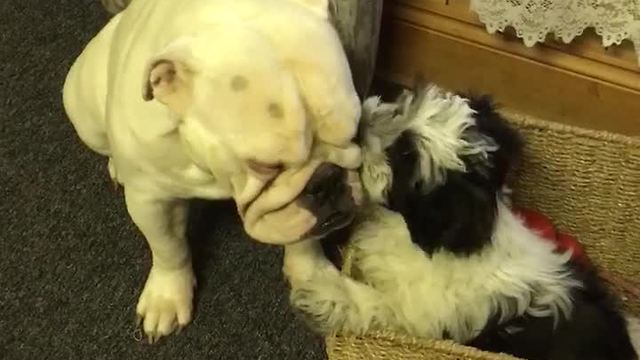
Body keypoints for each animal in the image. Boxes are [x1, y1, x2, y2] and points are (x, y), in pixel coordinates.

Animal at [292, 83, 640, 360]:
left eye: (405, 157)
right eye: (406, 103)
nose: (362, 126)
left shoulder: (419, 314)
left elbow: (375, 305)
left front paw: (322, 288)